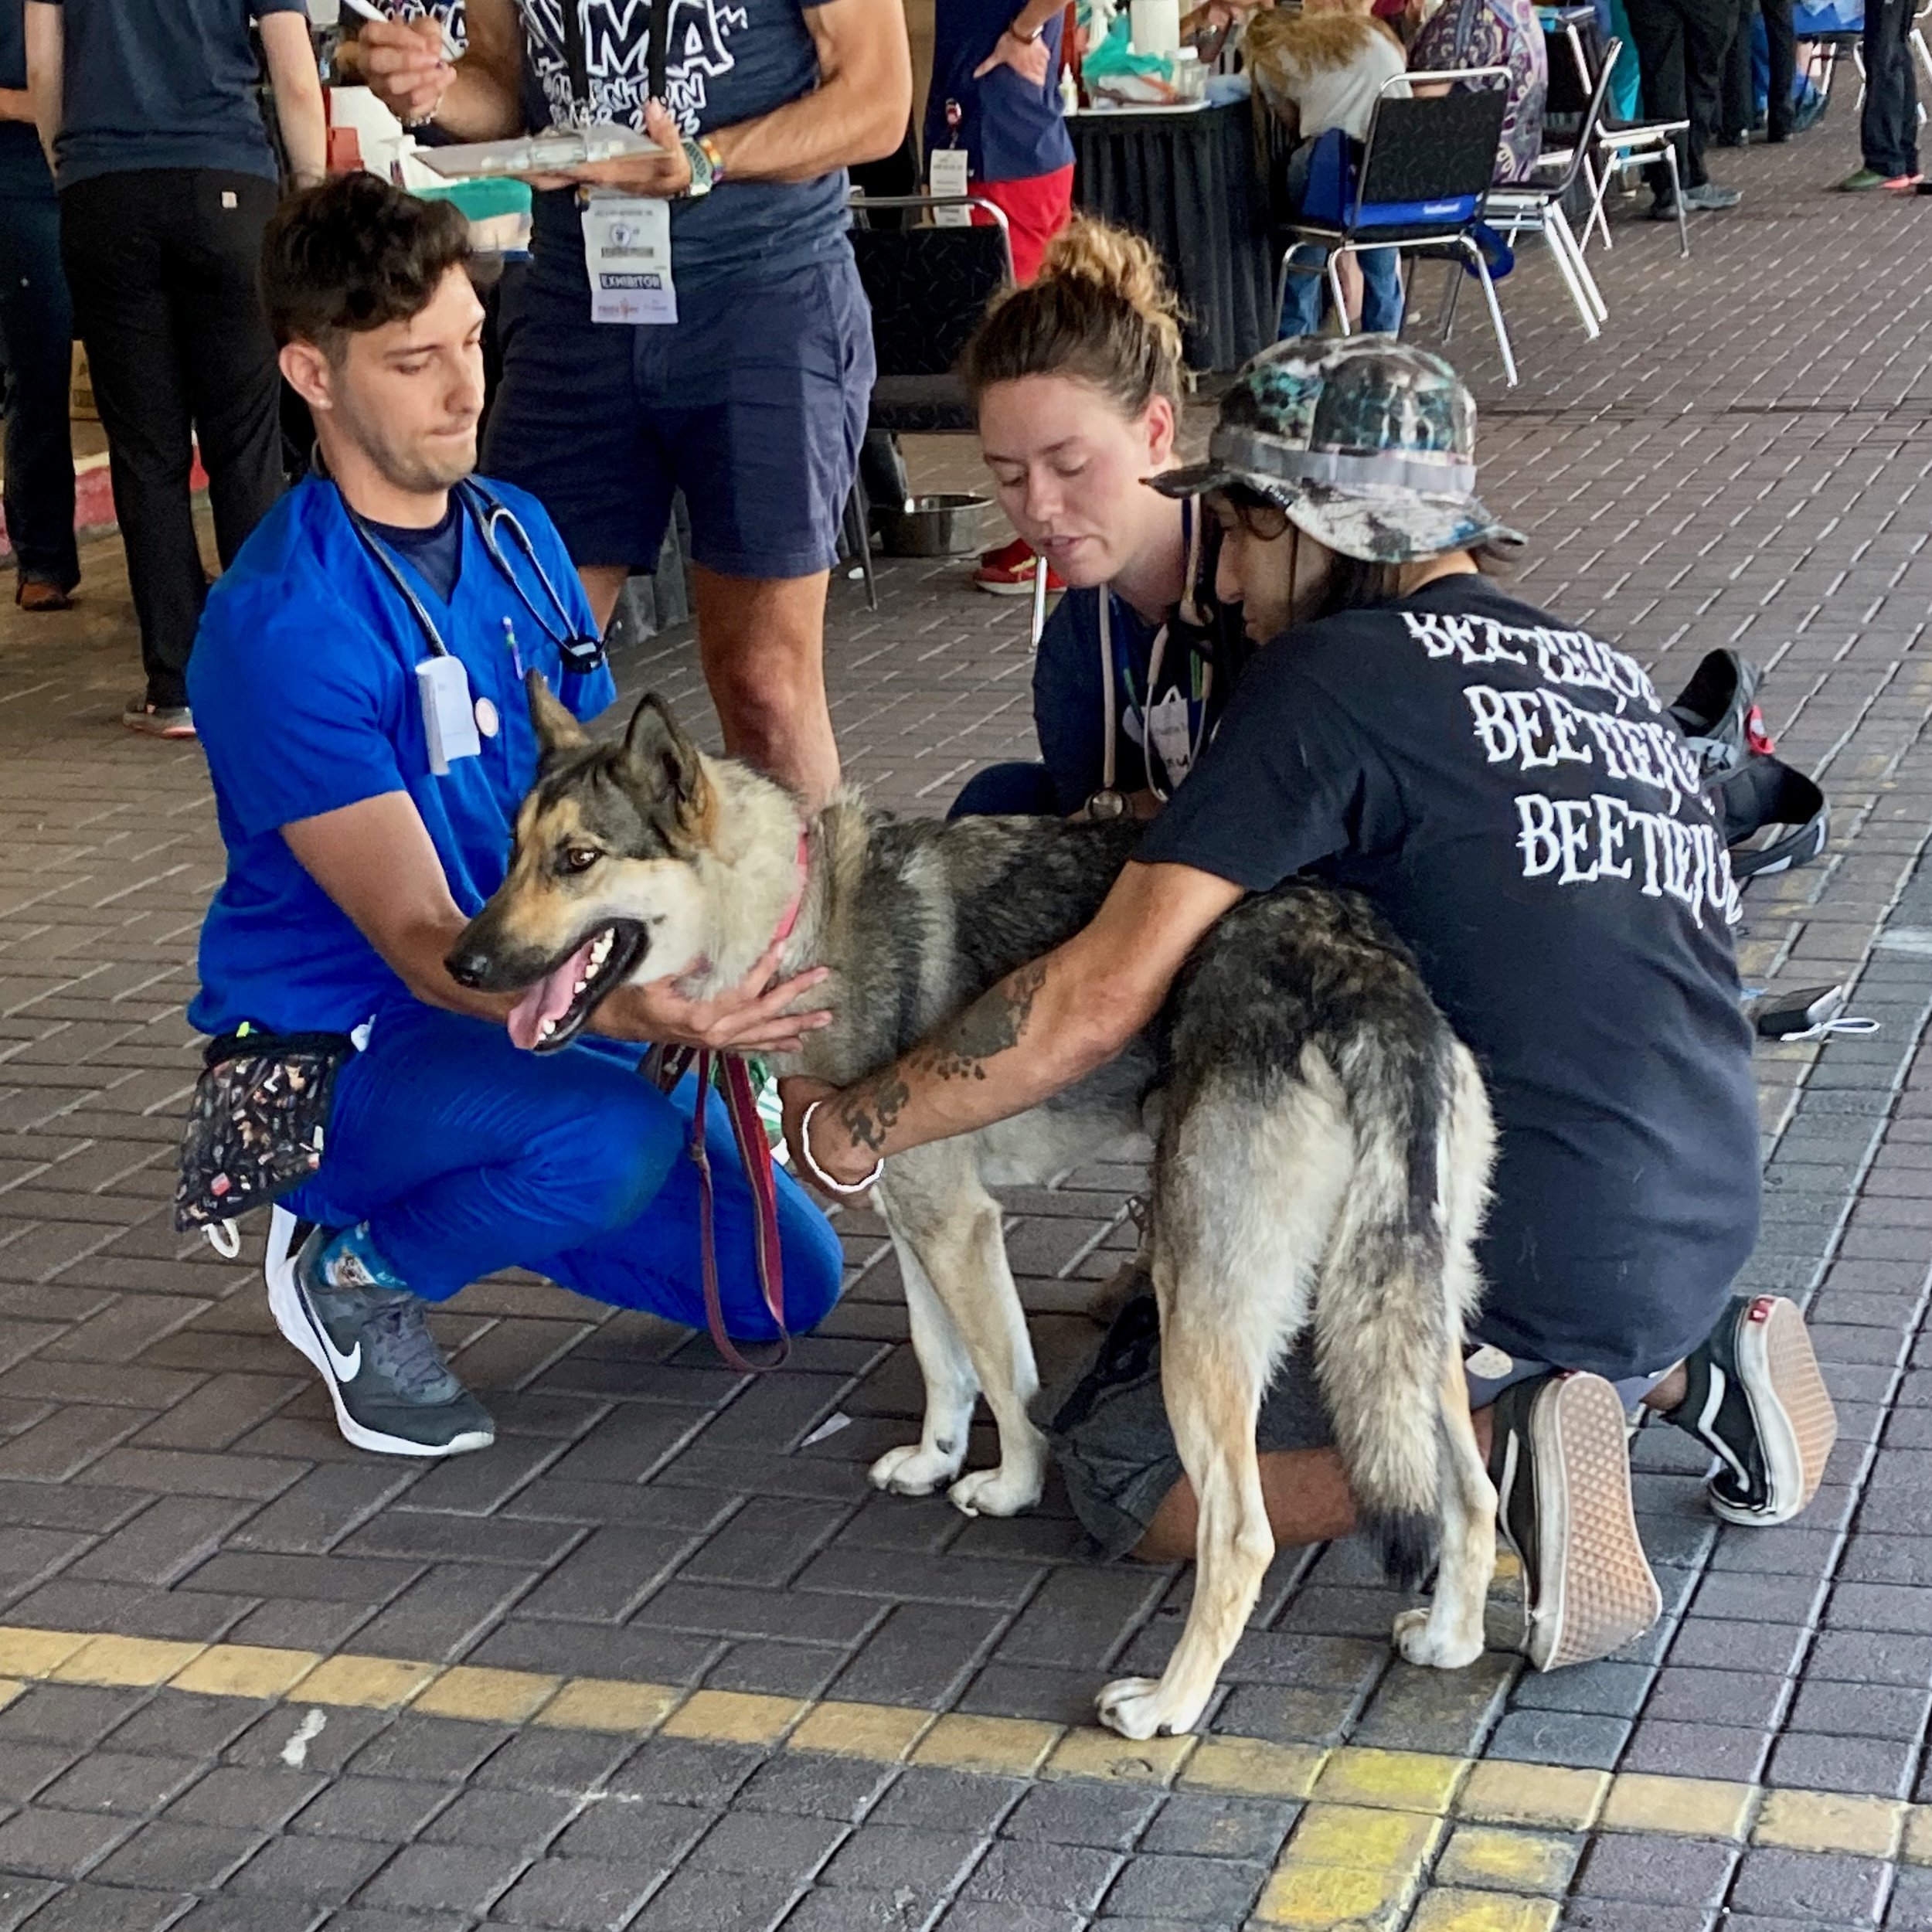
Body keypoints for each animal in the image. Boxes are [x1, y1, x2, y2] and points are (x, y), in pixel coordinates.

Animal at [460, 684, 1499, 1739]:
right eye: (512, 851)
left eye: (578, 858)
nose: (463, 962)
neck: (799, 924)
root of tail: (1362, 976)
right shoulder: (908, 1211)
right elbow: (942, 1361)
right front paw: (933, 1459)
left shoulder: (957, 1224)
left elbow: (1010, 1382)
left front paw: (1008, 1486)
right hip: (1408, 1316)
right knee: (1470, 1487)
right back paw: (1450, 1636)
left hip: (1202, 1314)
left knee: (1242, 1533)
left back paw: (1166, 1703)